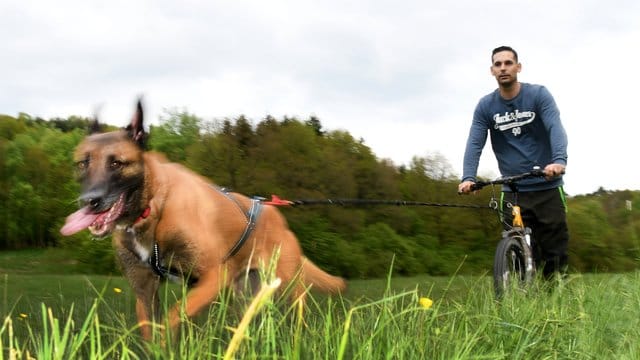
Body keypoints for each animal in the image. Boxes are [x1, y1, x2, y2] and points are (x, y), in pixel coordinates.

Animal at [60, 99, 348, 340]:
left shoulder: (213, 276)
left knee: (297, 317)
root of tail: (278, 218)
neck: (154, 207)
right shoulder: (144, 291)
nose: (89, 201)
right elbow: (151, 333)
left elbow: (172, 317)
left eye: (117, 163)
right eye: (82, 163)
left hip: (287, 288)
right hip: (244, 294)